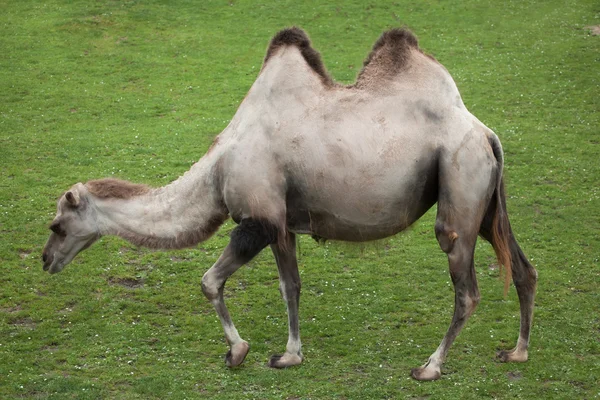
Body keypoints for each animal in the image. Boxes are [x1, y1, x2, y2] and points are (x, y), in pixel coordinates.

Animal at [43, 28, 540, 382]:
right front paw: (289, 356)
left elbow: (209, 282)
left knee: (466, 288)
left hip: (460, 181)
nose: (47, 260)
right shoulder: (281, 222)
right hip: (485, 200)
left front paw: (237, 351)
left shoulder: (258, 218)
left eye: (57, 225)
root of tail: (484, 132)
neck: (217, 169)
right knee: (523, 267)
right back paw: (517, 351)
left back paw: (430, 367)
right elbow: (291, 286)